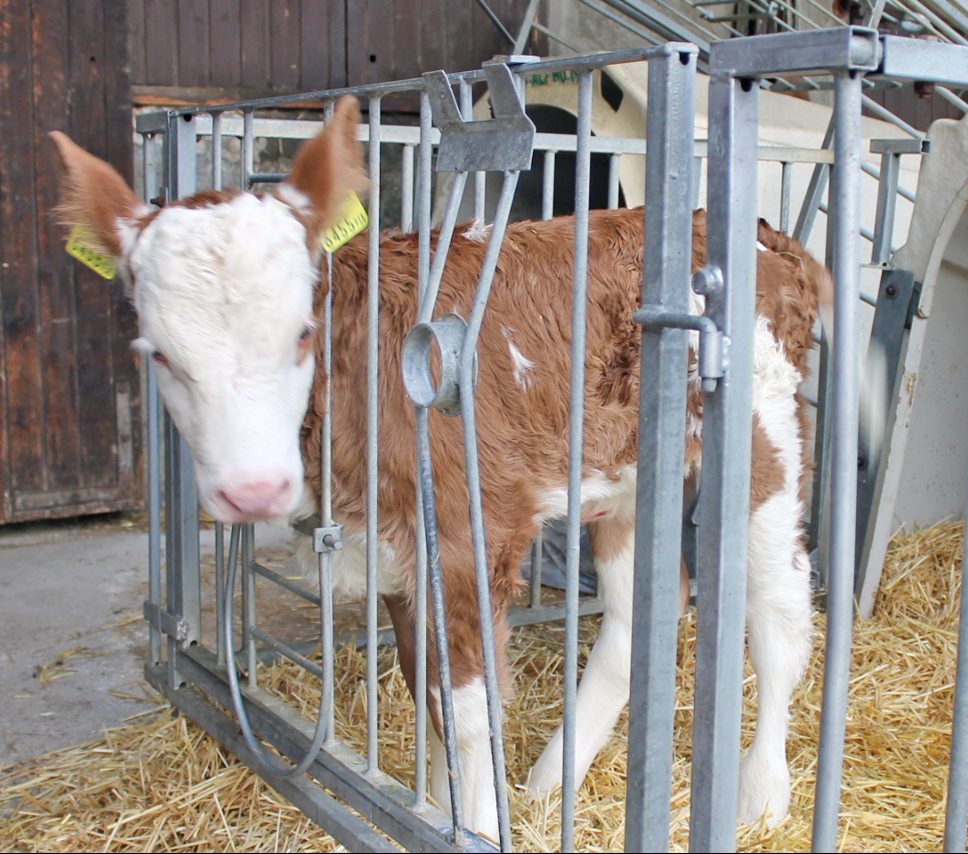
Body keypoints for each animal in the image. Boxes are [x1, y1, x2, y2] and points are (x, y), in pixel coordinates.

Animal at [51, 98, 824, 844]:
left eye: (302, 330)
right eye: (155, 352)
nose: (252, 489)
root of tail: (764, 236)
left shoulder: (467, 534)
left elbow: (470, 712)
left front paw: (475, 826)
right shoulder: (394, 550)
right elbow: (430, 693)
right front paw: (445, 806)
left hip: (766, 436)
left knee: (779, 616)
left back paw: (762, 799)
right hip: (628, 471)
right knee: (643, 610)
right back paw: (552, 780)